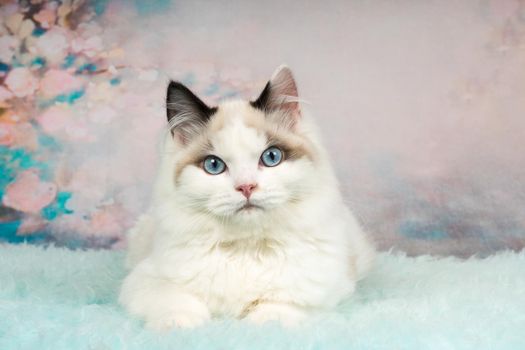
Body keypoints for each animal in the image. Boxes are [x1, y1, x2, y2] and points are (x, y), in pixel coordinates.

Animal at [118, 65, 372, 330]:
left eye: (271, 157)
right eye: (214, 165)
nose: (246, 187)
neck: (246, 249)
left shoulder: (320, 291)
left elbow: (277, 309)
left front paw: (265, 324)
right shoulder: (145, 280)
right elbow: (177, 301)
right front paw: (180, 326)